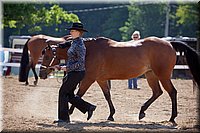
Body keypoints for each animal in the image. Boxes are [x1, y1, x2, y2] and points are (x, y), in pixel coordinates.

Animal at [38, 35, 199, 123]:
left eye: (46, 56)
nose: (41, 74)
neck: (89, 51)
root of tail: (169, 43)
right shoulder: (101, 79)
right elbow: (107, 96)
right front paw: (111, 115)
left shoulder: (89, 78)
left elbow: (79, 94)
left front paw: (72, 113)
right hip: (151, 75)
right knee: (157, 92)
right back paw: (142, 112)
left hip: (163, 75)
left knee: (172, 92)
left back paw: (172, 118)